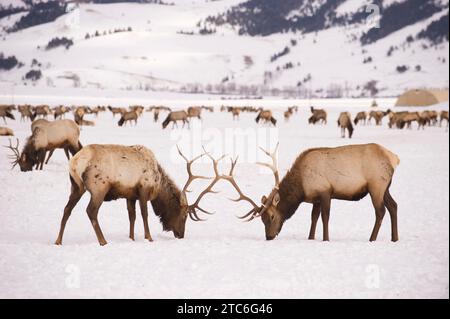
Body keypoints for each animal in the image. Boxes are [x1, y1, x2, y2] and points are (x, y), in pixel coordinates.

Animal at [54, 145, 216, 248]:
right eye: (184, 216)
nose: (181, 235)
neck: (158, 184)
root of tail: (75, 162)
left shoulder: (130, 195)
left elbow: (132, 216)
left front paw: (131, 238)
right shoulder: (143, 189)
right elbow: (144, 214)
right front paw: (149, 237)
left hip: (76, 186)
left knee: (67, 209)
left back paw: (58, 241)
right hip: (99, 187)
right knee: (91, 211)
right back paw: (103, 241)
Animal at [218, 143, 400, 242]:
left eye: (272, 216)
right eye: (262, 219)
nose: (269, 236)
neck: (301, 188)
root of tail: (394, 158)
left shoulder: (326, 191)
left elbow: (325, 217)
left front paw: (326, 239)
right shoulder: (315, 198)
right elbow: (314, 217)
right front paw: (311, 237)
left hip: (376, 186)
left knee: (380, 211)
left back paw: (372, 239)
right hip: (385, 188)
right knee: (394, 206)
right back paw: (394, 238)